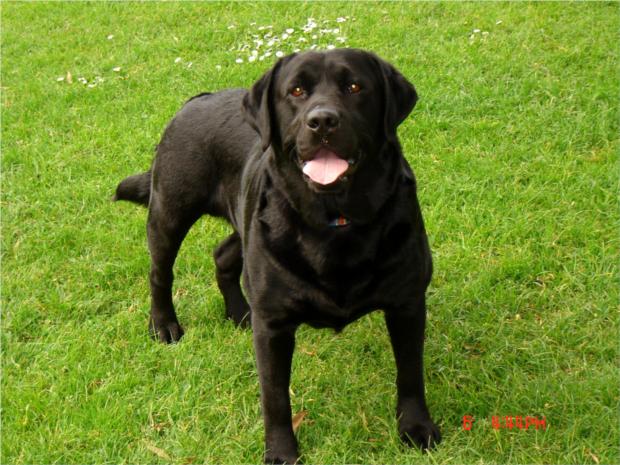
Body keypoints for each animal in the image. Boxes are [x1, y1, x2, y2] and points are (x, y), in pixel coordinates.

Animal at [115, 48, 440, 463]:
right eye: (296, 91)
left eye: (355, 87)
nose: (322, 121)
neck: (336, 221)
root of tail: (197, 99)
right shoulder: (273, 326)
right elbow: (274, 397)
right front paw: (282, 452)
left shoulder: (408, 303)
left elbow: (410, 373)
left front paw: (416, 427)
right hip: (170, 210)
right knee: (161, 271)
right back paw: (164, 326)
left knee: (223, 255)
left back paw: (239, 312)